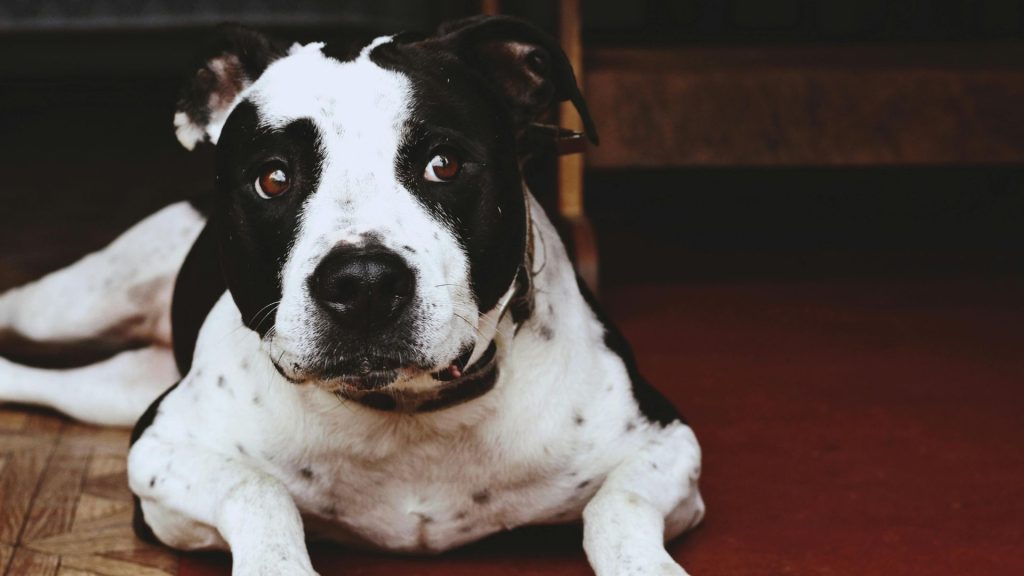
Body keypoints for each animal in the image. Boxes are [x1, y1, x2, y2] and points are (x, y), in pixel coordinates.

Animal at [0, 16, 704, 573]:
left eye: (444, 164)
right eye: (273, 178)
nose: (362, 283)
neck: (409, 412)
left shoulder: (668, 447)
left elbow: (616, 506)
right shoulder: (159, 455)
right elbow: (260, 492)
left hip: (116, 389)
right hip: (73, 308)